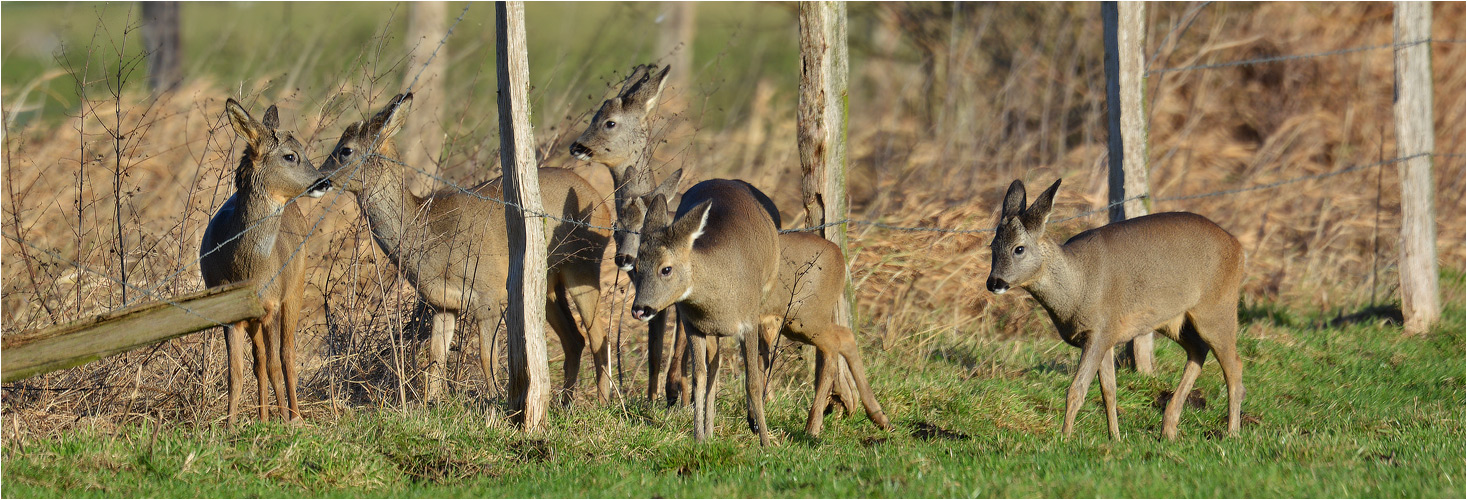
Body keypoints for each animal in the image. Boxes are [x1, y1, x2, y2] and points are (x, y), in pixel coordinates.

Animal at [200, 98, 333, 425]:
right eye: (290, 155)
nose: (324, 181)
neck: (246, 268)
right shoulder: (230, 313)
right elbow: (236, 372)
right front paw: (229, 426)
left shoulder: (272, 303)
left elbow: (275, 364)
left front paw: (287, 420)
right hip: (256, 318)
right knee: (259, 360)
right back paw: (262, 417)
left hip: (295, 287)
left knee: (287, 354)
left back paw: (295, 416)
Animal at [321, 93, 613, 401]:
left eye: (345, 150)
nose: (319, 178)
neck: (427, 233)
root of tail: (601, 201)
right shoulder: (441, 302)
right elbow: (436, 357)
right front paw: (432, 402)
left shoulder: (489, 292)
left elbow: (487, 357)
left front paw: (496, 399)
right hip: (546, 283)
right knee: (574, 338)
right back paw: (566, 401)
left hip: (583, 264)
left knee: (598, 335)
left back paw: (602, 401)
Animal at [627, 180, 886, 442]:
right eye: (636, 267)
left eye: (666, 269)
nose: (639, 309)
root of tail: (841, 257)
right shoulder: (695, 326)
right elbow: (700, 377)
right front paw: (700, 438)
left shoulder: (749, 322)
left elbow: (751, 382)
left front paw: (766, 442)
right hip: (800, 321)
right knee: (844, 336)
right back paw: (877, 416)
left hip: (807, 316)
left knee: (834, 344)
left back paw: (813, 426)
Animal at [991, 178, 1244, 436]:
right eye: (992, 247)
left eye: (1018, 248)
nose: (994, 282)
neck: (1078, 286)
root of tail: (1238, 246)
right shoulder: (1107, 336)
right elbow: (1109, 391)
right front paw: (1115, 436)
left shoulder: (1099, 330)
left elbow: (1076, 390)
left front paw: (1064, 438)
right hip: (1173, 321)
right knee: (1198, 350)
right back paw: (1168, 429)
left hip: (1216, 307)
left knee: (1234, 366)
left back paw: (1232, 433)